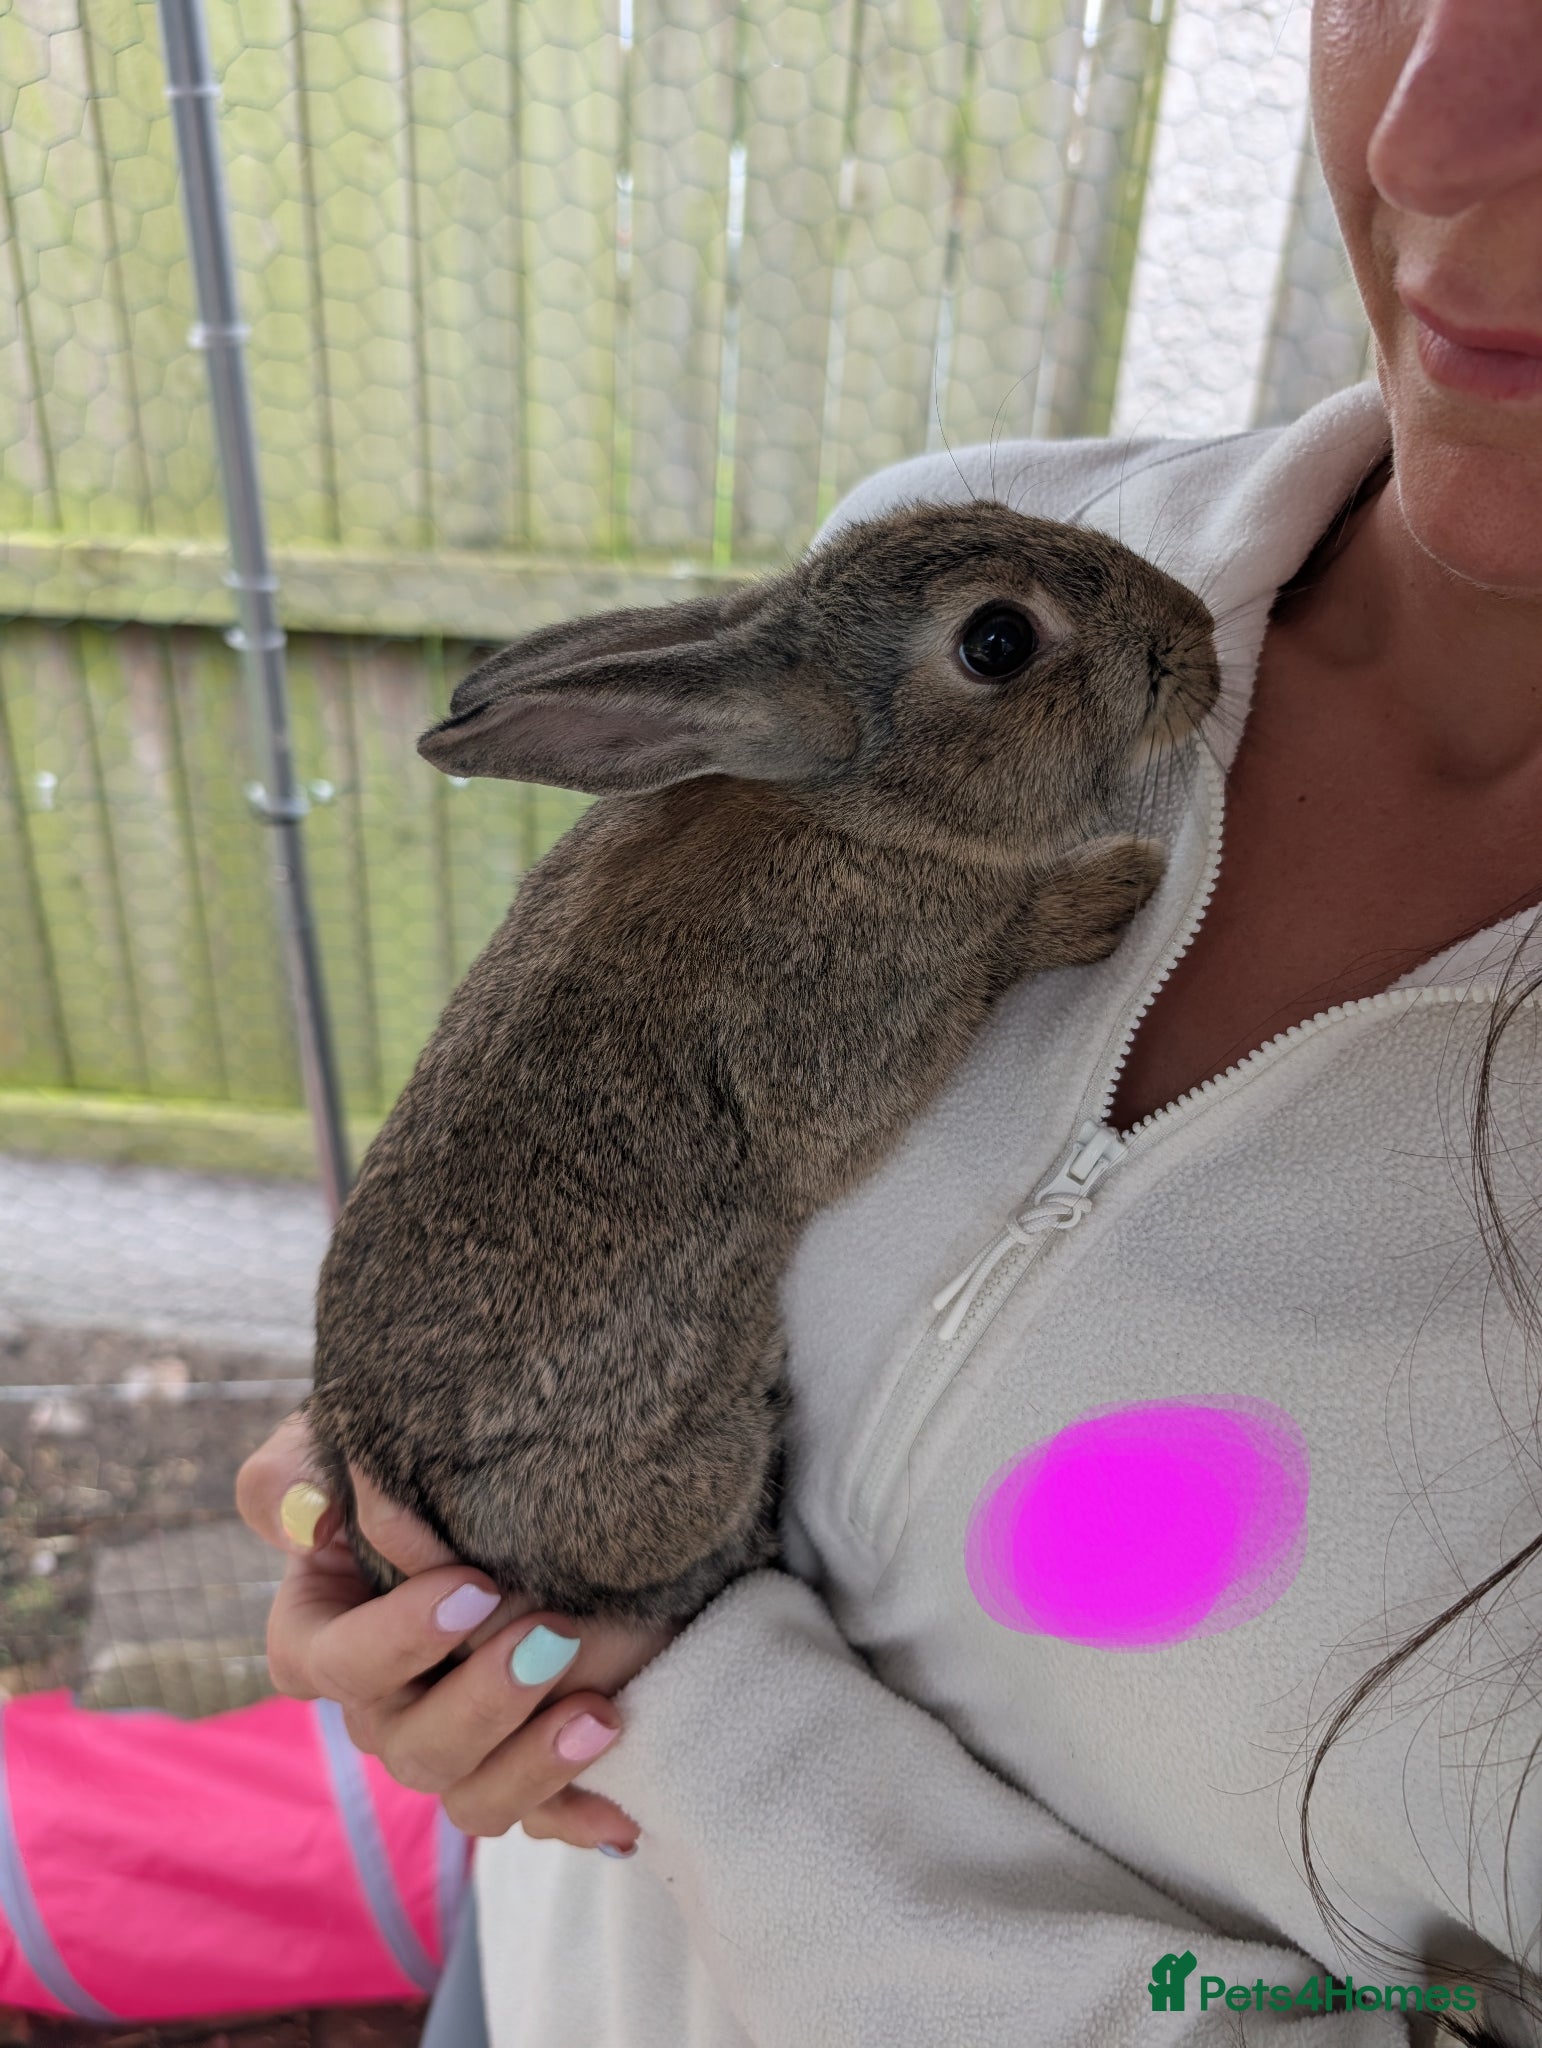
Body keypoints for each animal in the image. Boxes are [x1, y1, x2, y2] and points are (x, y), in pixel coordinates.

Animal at [306, 500, 1220, 1624]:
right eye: (998, 640)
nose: (1198, 638)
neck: (850, 807)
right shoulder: (839, 1048)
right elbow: (977, 966)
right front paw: (1111, 884)